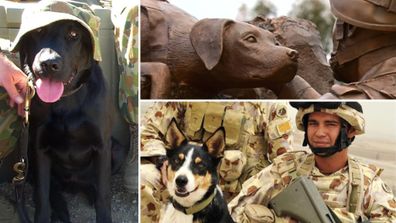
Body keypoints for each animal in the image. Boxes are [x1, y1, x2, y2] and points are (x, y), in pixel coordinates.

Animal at [19, 20, 113, 222]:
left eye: (74, 34)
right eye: (38, 30)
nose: (48, 64)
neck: (66, 100)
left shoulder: (103, 146)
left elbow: (103, 195)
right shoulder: (39, 147)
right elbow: (42, 195)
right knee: (51, 190)